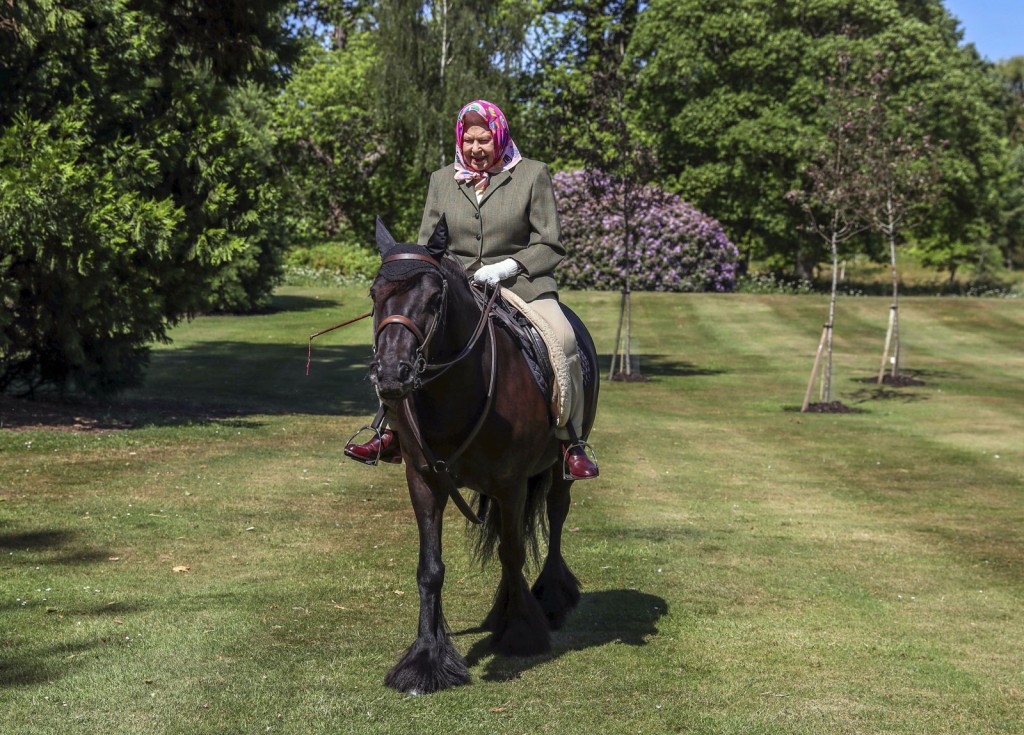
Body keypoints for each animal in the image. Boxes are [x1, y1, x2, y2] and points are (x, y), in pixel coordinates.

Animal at [368, 215, 598, 692]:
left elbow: (512, 553)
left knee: (555, 517)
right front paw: (426, 659)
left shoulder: (511, 483)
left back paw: (549, 597)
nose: (392, 374)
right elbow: (430, 568)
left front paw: (521, 632)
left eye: (434, 298)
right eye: (374, 294)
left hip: (560, 469)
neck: (453, 390)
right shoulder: (424, 480)